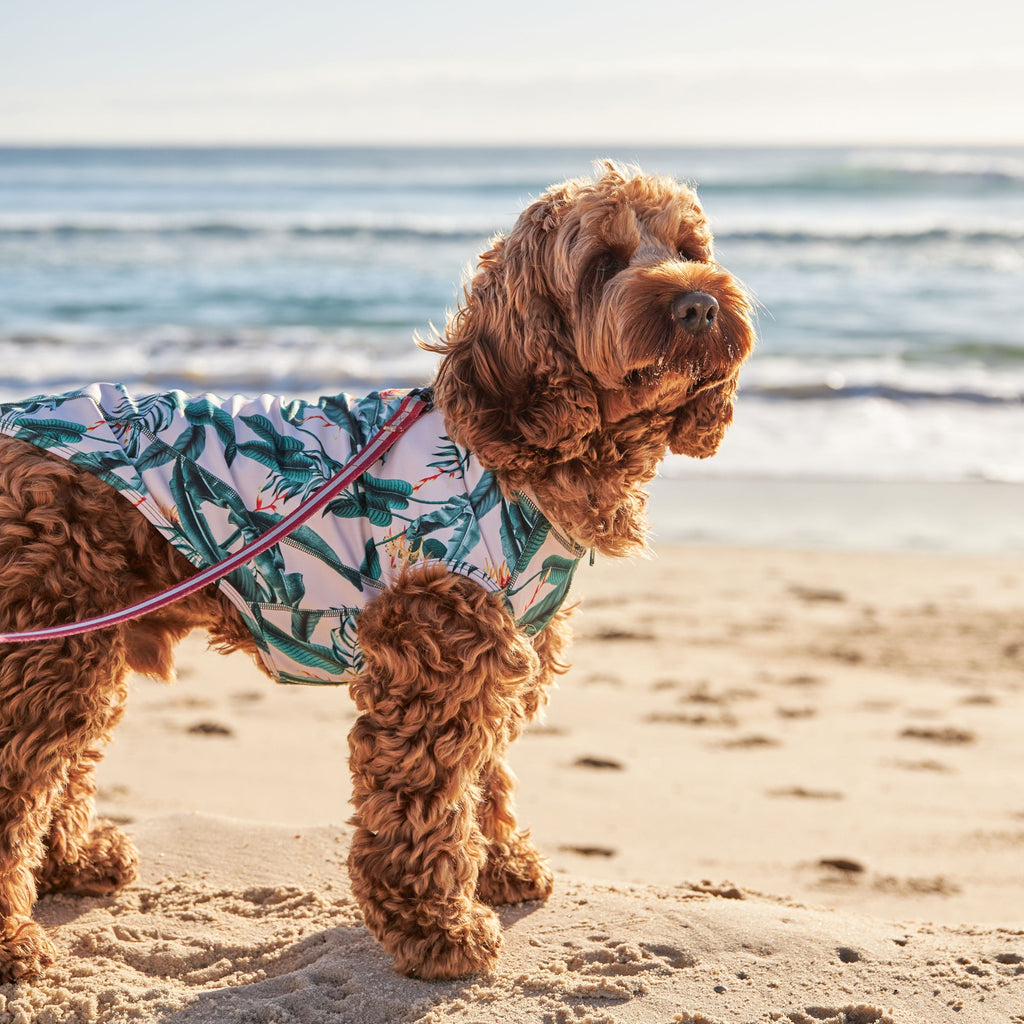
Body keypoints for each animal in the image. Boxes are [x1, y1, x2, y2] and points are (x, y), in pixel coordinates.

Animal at [0, 165, 753, 983]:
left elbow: (485, 776)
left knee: (65, 760)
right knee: (22, 780)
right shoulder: (434, 664)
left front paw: (500, 867)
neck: (513, 451)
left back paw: (73, 860)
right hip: (49, 644)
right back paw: (15, 938)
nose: (700, 304)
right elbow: (424, 807)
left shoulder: (501, 655)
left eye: (688, 249)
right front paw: (438, 929)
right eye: (605, 262)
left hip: (83, 643)